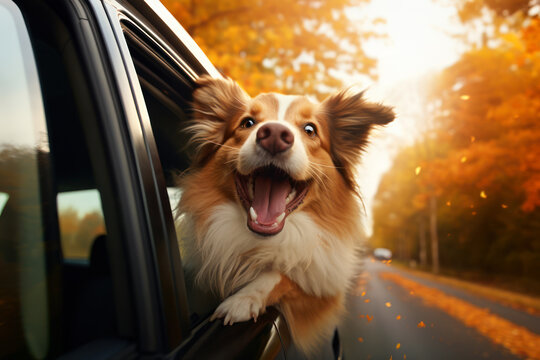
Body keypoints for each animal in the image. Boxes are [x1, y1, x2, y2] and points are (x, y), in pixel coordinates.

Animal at [176, 76, 392, 352]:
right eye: (248, 123)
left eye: (310, 129)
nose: (275, 135)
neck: (259, 242)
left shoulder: (321, 291)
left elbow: (282, 276)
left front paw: (243, 298)